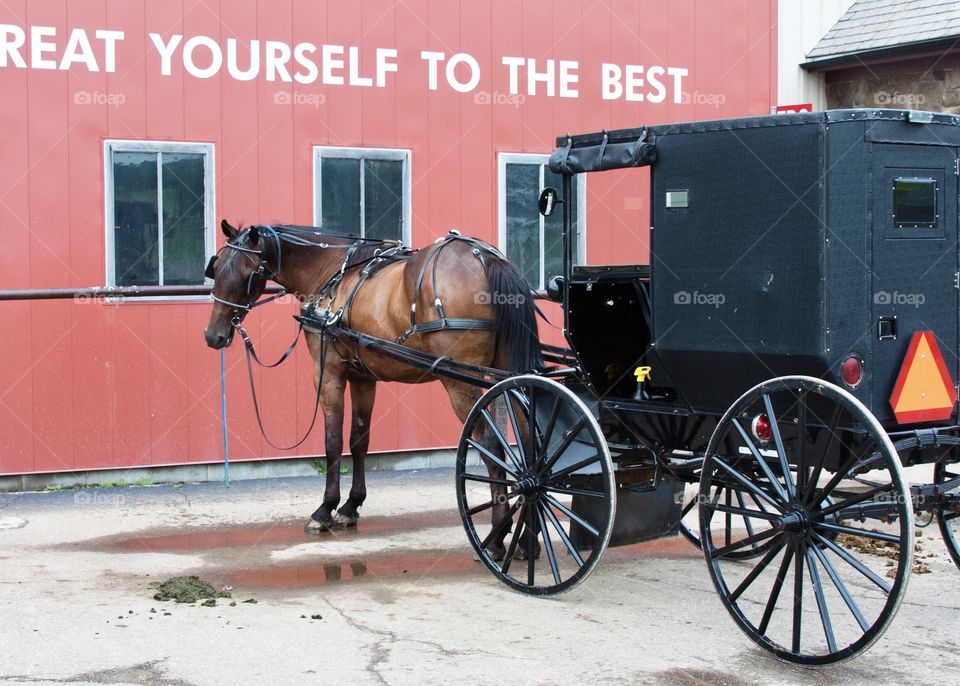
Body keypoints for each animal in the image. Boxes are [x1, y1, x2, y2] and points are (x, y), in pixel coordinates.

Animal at [202, 222, 540, 560]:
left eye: (247, 274)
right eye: (216, 269)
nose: (213, 336)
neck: (331, 274)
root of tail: (486, 258)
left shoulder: (328, 372)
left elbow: (333, 441)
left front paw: (324, 509)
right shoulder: (363, 378)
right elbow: (359, 440)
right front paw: (351, 505)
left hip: (463, 383)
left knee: (490, 445)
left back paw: (496, 538)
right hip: (509, 372)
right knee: (528, 440)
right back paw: (529, 538)